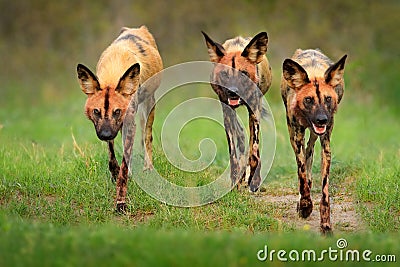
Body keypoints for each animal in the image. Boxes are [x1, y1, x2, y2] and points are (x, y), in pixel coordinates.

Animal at [76, 26, 162, 213]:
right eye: (96, 111)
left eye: (117, 111)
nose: (106, 134)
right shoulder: (109, 127)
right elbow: (112, 156)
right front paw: (115, 173)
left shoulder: (128, 123)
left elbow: (123, 167)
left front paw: (120, 202)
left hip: (148, 107)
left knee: (147, 136)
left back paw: (148, 167)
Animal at [202, 31, 274, 192]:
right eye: (225, 74)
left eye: (244, 73)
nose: (232, 92)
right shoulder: (227, 112)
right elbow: (233, 154)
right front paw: (235, 181)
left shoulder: (254, 111)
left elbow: (254, 151)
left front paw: (254, 180)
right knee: (240, 136)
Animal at [282, 49, 346, 233]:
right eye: (308, 100)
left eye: (328, 99)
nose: (322, 120)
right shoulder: (296, 137)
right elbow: (302, 173)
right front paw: (305, 206)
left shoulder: (326, 145)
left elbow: (324, 191)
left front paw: (325, 224)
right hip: (299, 135)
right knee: (304, 161)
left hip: (314, 135)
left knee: (309, 151)